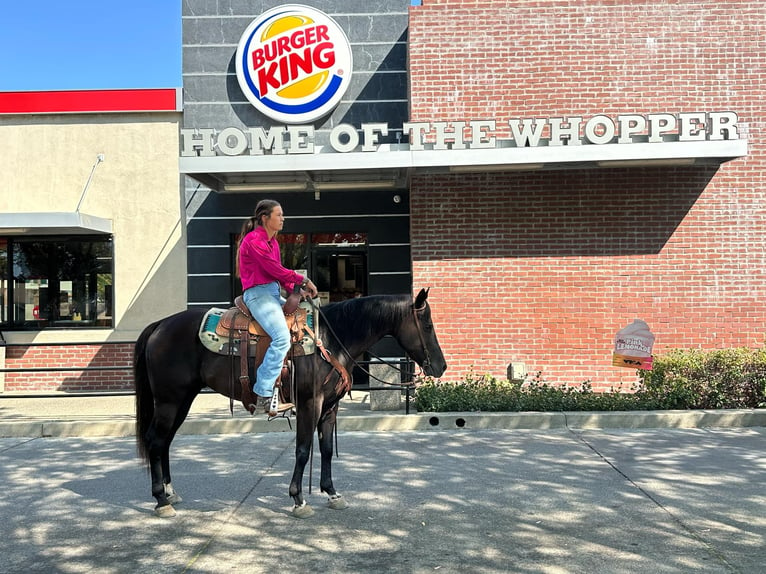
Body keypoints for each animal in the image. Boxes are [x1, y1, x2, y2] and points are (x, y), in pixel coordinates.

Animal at [135, 290, 450, 520]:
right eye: (428, 325)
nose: (441, 366)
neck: (331, 340)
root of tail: (160, 325)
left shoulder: (330, 407)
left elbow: (325, 449)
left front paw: (332, 493)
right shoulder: (311, 403)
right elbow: (302, 449)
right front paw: (298, 499)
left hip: (182, 399)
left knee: (165, 442)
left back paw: (171, 492)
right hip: (169, 399)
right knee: (155, 440)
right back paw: (161, 500)